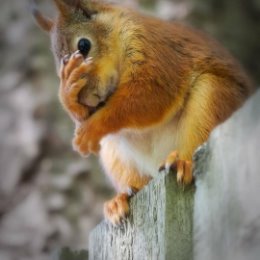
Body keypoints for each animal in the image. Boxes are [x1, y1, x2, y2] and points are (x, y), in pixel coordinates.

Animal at [32, 0, 254, 224]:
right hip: (114, 153)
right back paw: (119, 200)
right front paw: (68, 93)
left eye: (84, 45)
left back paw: (183, 163)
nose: (87, 99)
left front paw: (89, 130)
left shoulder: (154, 52)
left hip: (211, 100)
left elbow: (147, 98)